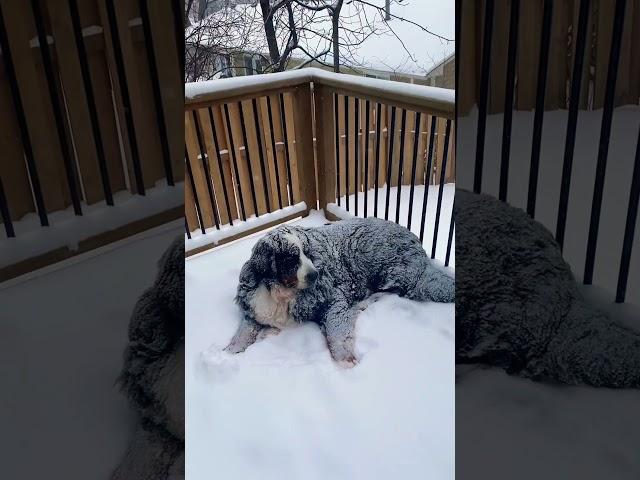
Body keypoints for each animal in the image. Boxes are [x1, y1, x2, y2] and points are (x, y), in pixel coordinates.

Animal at [225, 218, 456, 368]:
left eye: (307, 253)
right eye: (291, 258)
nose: (314, 275)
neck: (282, 292)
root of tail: (416, 242)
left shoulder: (333, 301)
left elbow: (336, 330)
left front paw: (344, 358)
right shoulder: (255, 308)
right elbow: (243, 332)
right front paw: (230, 352)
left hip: (393, 271)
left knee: (394, 291)